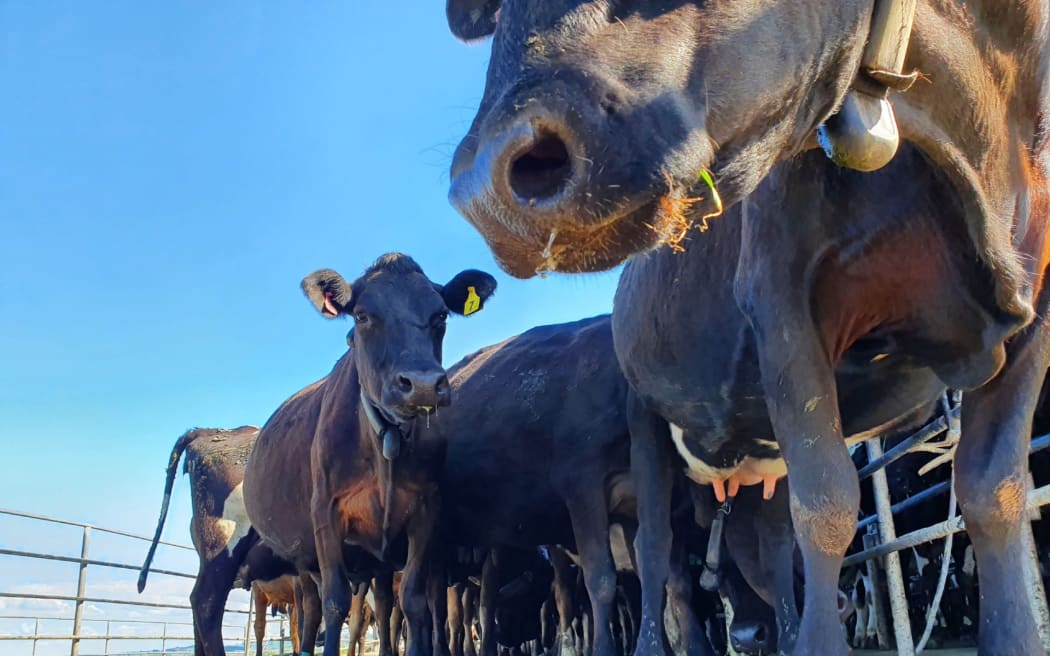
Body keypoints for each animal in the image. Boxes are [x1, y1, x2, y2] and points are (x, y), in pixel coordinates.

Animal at [241, 251, 495, 656]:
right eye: (362, 316)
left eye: (440, 315)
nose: (423, 384)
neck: (385, 442)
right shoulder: (326, 515)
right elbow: (335, 602)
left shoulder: (425, 513)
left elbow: (414, 603)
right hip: (303, 559)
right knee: (311, 609)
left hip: (378, 559)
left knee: (386, 607)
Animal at [445, 2, 1050, 650]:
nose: (483, 189)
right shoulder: (781, 299)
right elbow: (830, 504)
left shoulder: (1035, 306)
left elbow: (994, 488)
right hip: (645, 422)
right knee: (655, 551)